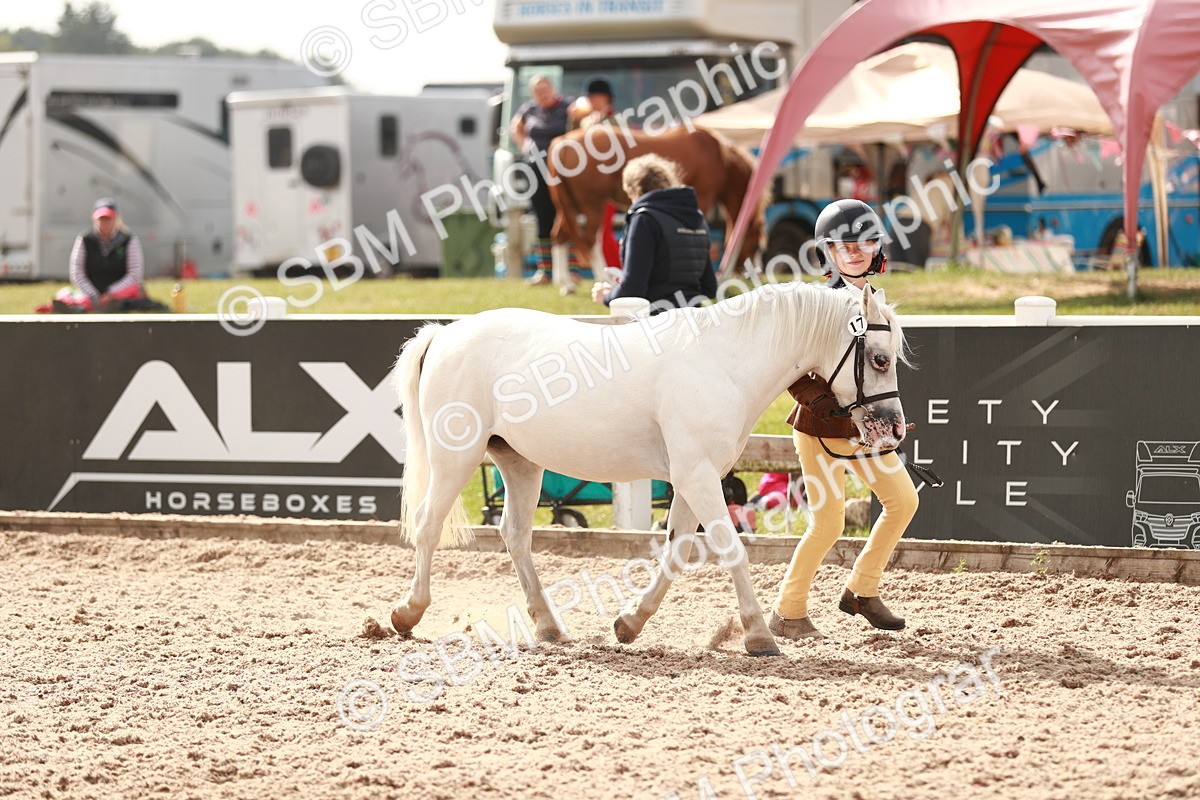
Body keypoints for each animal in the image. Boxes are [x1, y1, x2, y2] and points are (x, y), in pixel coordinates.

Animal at [390, 282, 907, 657]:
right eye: (880, 358)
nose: (895, 428)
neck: (722, 363)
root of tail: (446, 334)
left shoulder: (691, 478)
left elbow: (677, 550)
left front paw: (629, 623)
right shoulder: (698, 476)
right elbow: (731, 548)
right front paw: (760, 636)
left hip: (518, 463)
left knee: (515, 535)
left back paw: (549, 626)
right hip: (455, 457)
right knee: (428, 525)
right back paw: (407, 614)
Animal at [546, 125, 767, 274]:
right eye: (755, 244)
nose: (751, 273)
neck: (718, 156)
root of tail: (563, 142)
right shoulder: (703, 197)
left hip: (568, 207)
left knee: (560, 235)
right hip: (592, 205)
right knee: (590, 242)